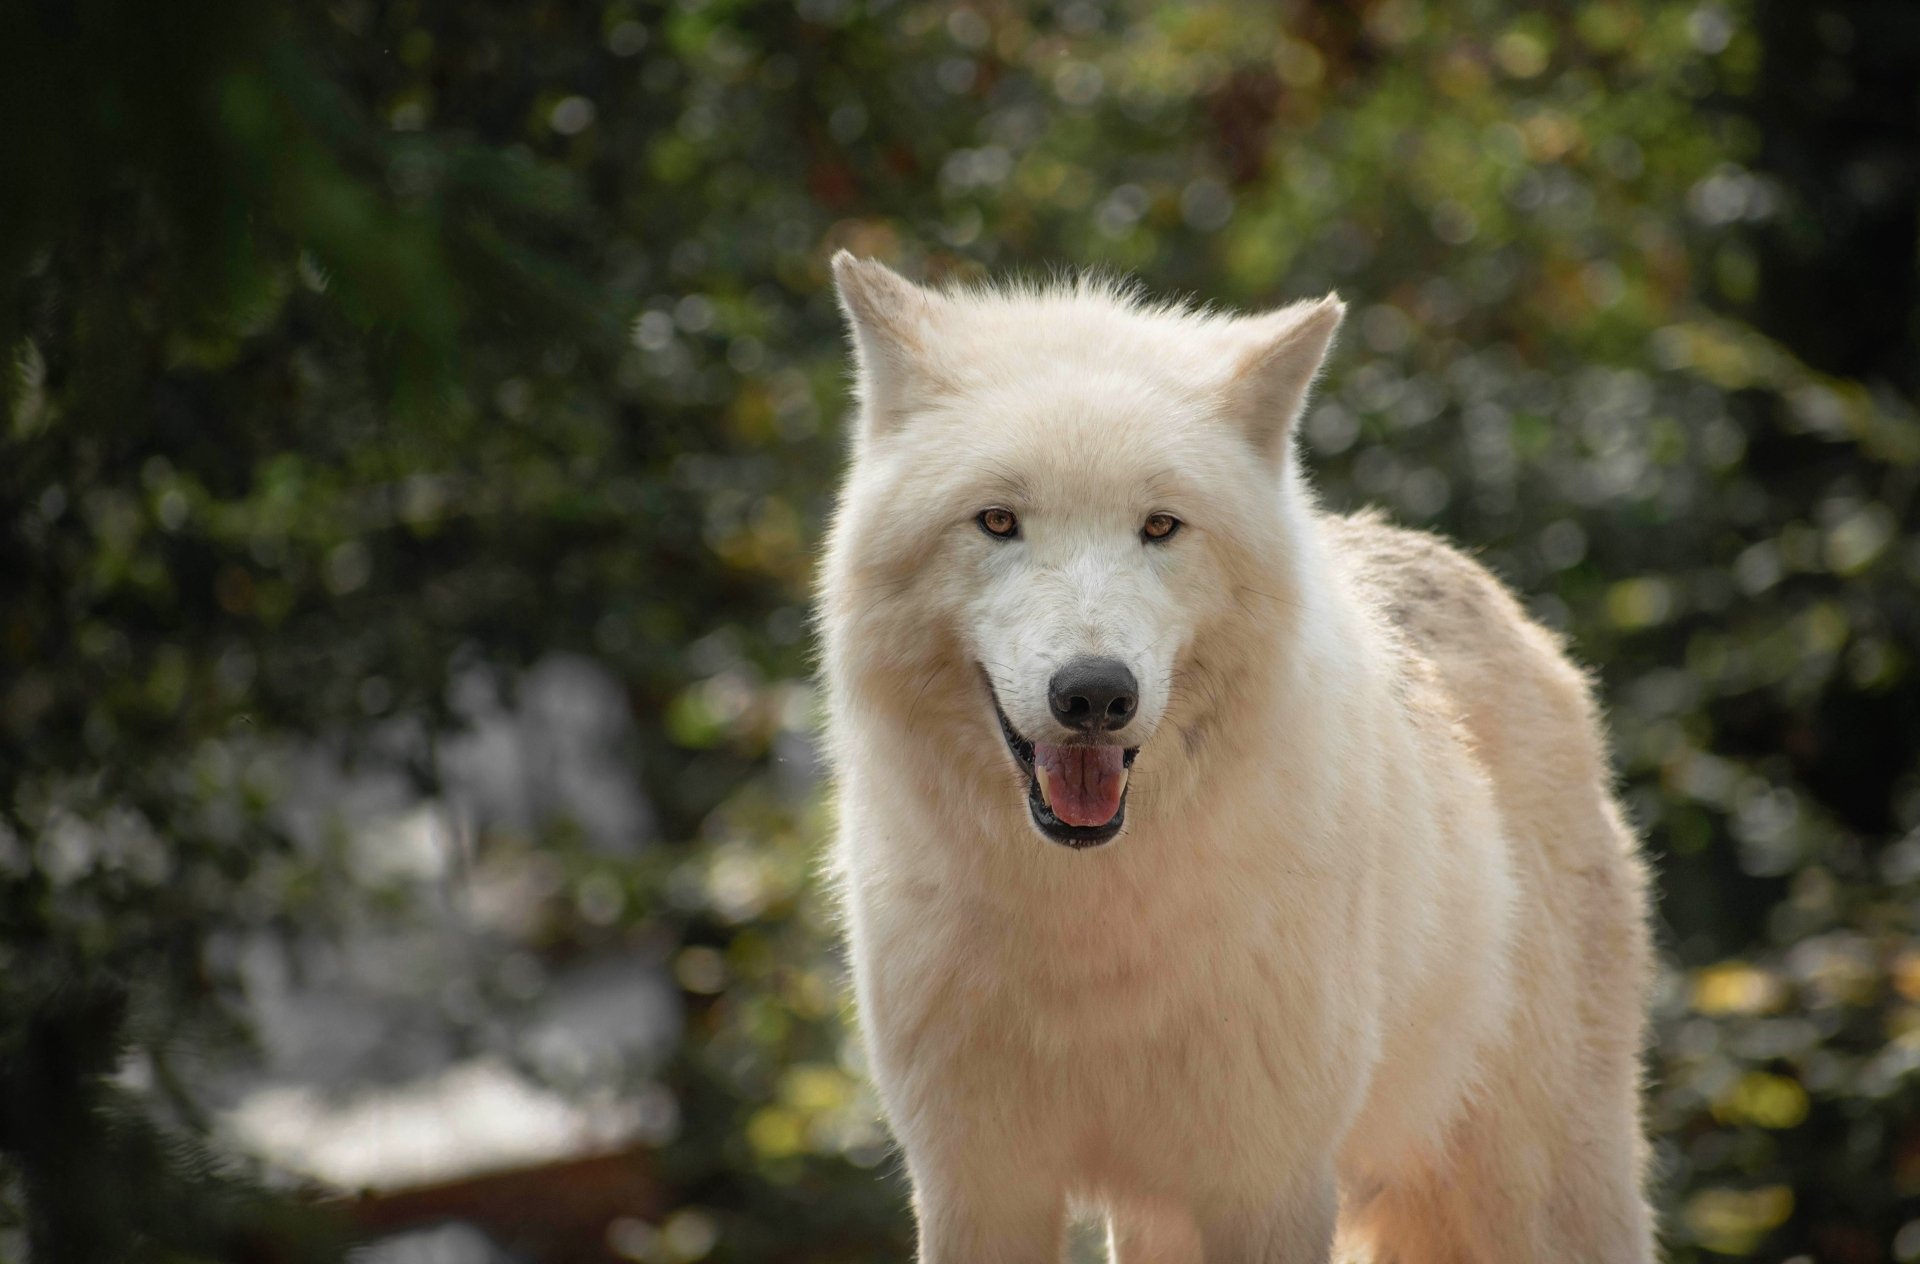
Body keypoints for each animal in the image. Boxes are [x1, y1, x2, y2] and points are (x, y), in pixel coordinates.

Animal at [818, 253, 1655, 1264]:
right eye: (997, 521)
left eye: (1160, 527)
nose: (1094, 695)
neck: (1090, 924)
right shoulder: (977, 1189)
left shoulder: (1269, 1187)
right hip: (1162, 1218)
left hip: (1528, 1191)